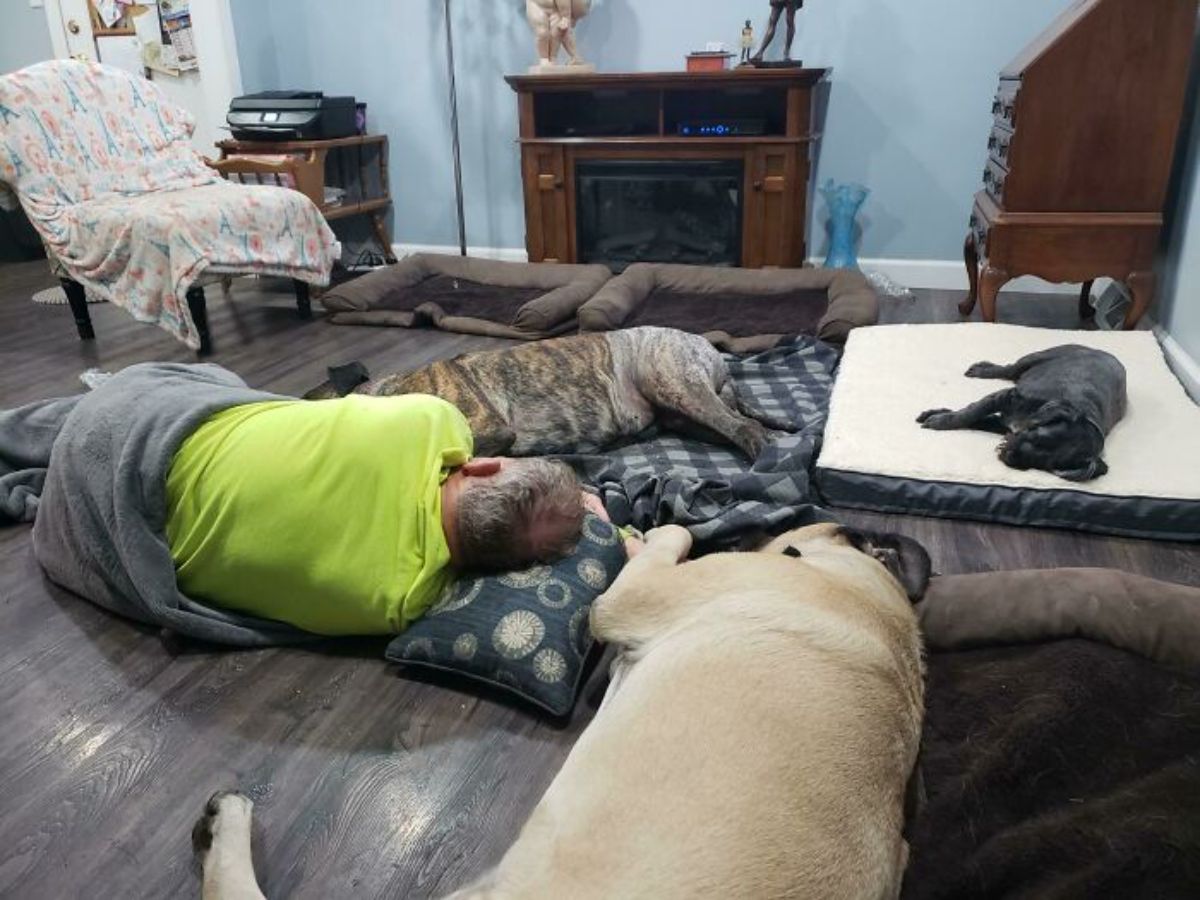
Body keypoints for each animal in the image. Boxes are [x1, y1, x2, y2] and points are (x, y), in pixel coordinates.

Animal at [307, 328, 787, 458]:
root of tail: (710, 348)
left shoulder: (487, 428)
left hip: (673, 382)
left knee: (742, 427)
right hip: (679, 409)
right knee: (732, 424)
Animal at [916, 345, 1123, 482]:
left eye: (1049, 464)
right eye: (1038, 436)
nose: (1009, 456)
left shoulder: (1002, 425)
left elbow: (978, 420)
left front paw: (936, 414)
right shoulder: (1007, 397)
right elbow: (970, 412)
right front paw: (940, 420)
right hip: (1036, 357)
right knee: (1008, 369)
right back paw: (982, 369)